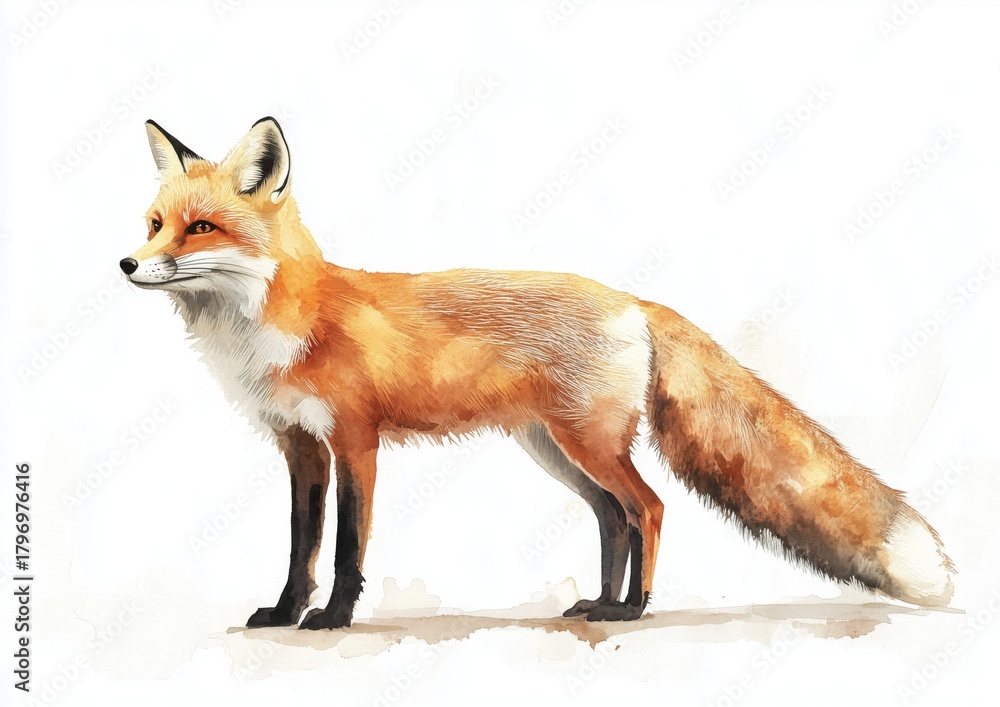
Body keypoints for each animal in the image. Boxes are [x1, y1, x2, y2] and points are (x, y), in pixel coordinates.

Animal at [121, 117, 954, 629]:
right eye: (154, 224)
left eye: (201, 228)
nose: (127, 264)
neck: (280, 320)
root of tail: (632, 298)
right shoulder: (299, 446)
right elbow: (302, 544)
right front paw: (287, 611)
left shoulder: (356, 439)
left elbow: (349, 547)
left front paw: (332, 617)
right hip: (553, 449)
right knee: (615, 517)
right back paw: (601, 600)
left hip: (586, 444)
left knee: (649, 507)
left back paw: (633, 608)